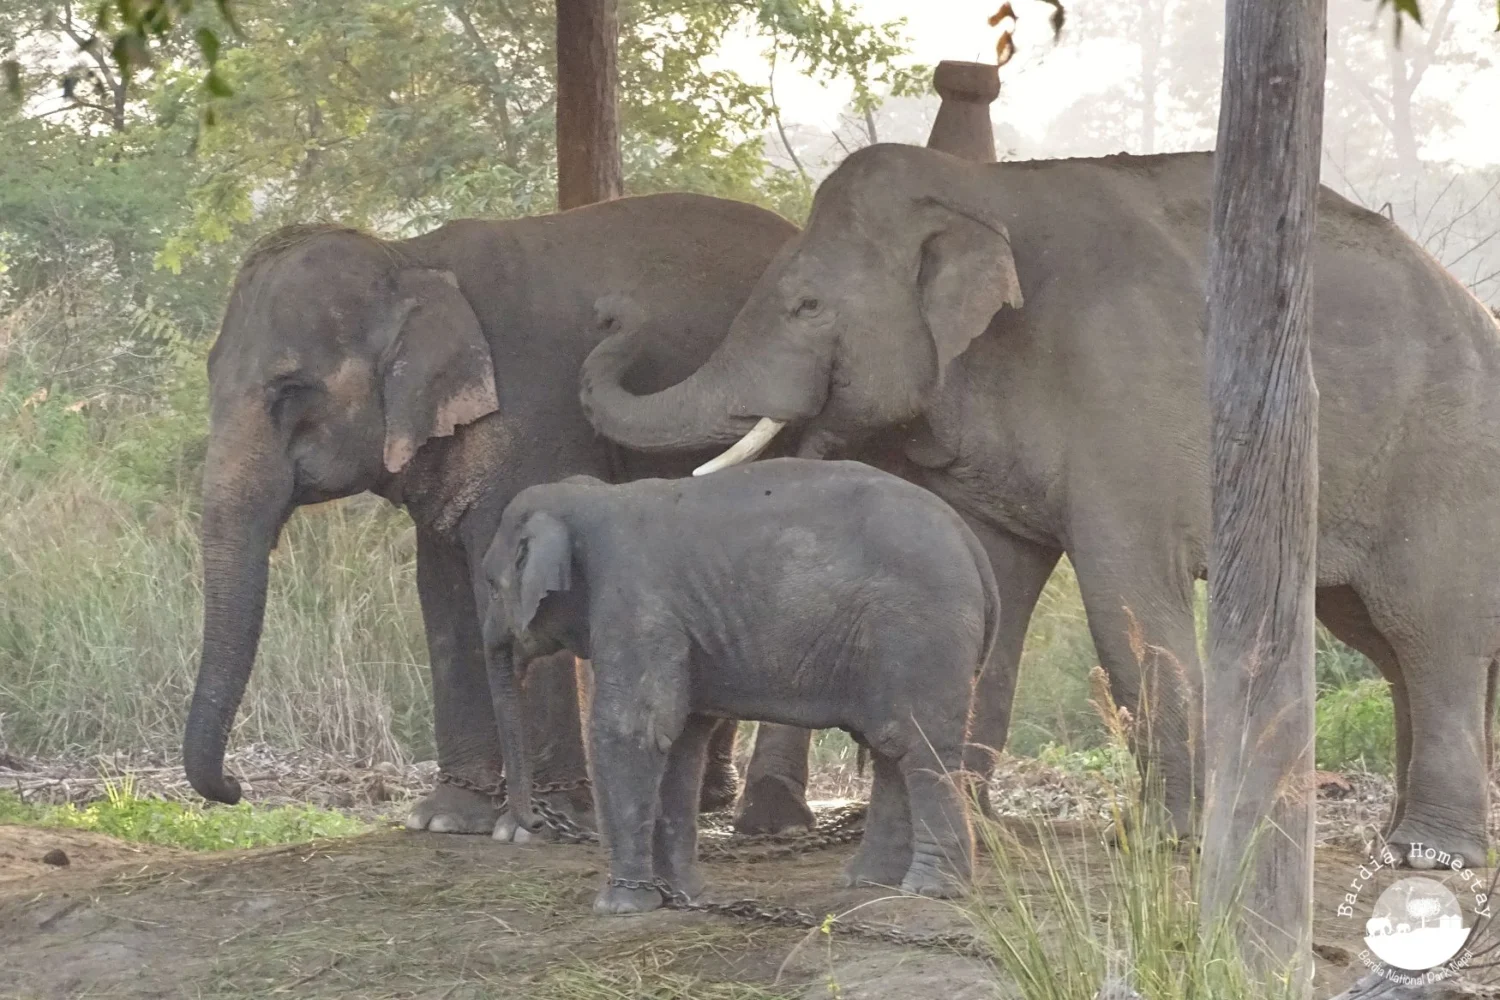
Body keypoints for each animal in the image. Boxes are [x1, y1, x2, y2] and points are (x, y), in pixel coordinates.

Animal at [181, 191, 859, 838]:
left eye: (290, 391)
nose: (235, 787)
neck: (410, 259)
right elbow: (443, 595)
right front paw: (448, 819)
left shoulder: (537, 416)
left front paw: (549, 822)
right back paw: (708, 796)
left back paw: (768, 818)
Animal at [478, 459, 997, 913]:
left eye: (491, 585)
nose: (532, 823)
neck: (593, 497)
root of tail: (972, 543)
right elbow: (682, 740)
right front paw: (682, 898)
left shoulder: (637, 606)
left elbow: (632, 731)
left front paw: (620, 906)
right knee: (891, 745)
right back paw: (868, 883)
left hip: (918, 631)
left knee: (918, 745)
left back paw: (930, 890)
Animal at [578, 142, 1500, 865]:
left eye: (806, 306)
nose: (613, 315)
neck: (980, 190)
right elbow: (991, 578)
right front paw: (968, 818)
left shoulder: (1125, 398)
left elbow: (1126, 601)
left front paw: (1161, 840)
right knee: (1380, 637)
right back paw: (1400, 836)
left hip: (1446, 460)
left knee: (1427, 630)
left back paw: (1432, 853)